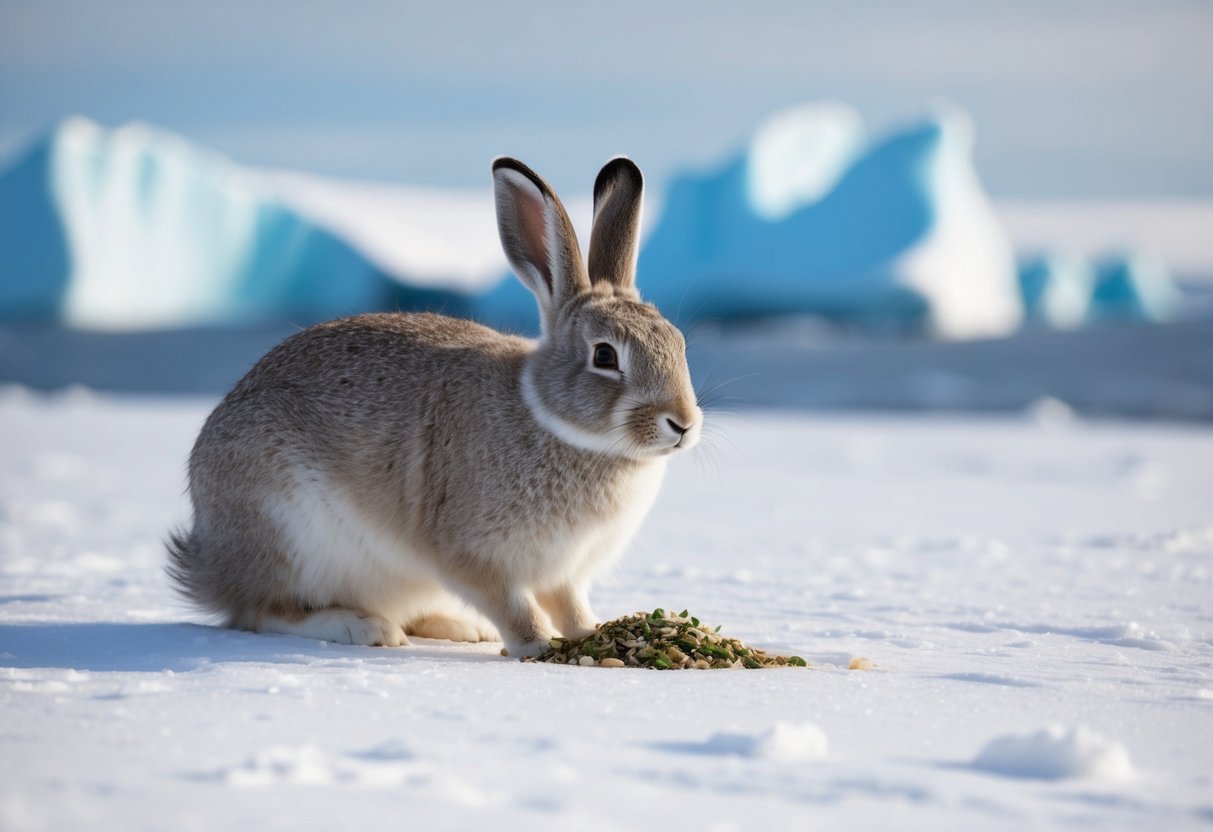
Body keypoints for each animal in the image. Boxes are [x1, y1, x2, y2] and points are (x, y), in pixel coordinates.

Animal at [167, 156, 702, 658]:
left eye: (678, 344)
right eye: (605, 356)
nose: (683, 424)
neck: (558, 426)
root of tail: (207, 563)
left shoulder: (564, 572)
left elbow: (569, 605)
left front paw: (592, 633)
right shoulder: (475, 556)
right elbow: (514, 605)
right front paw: (538, 646)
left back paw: (460, 628)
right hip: (287, 532)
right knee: (262, 611)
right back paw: (363, 628)